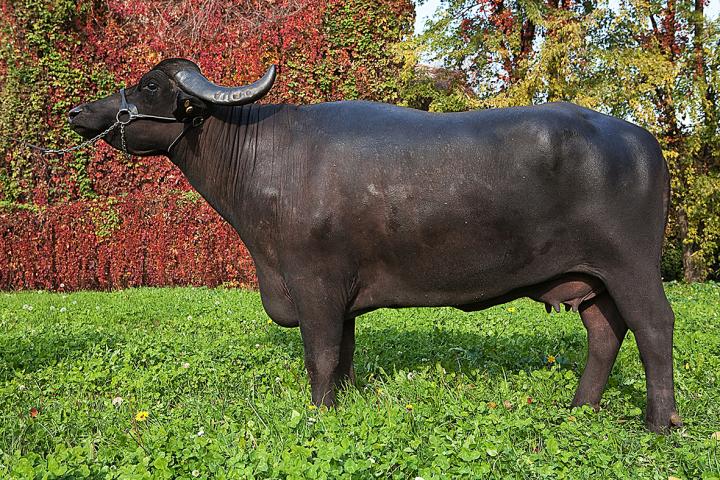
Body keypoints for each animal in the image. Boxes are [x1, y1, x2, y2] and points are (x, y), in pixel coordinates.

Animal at [69, 58, 681, 432]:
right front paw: (337, 406)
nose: (79, 111)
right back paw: (580, 407)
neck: (270, 158)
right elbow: (342, 356)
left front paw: (317, 415)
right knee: (606, 332)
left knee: (653, 328)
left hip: (630, 266)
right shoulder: (340, 296)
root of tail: (641, 139)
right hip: (593, 278)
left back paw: (658, 422)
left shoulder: (314, 283)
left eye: (151, 86)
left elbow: (319, 355)